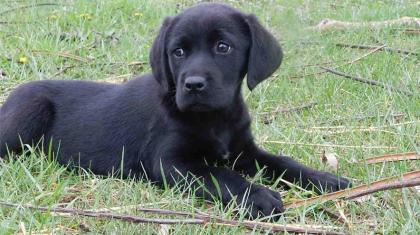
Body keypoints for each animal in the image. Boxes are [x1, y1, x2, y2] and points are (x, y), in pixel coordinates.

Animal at [0, 3, 350, 218]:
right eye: (178, 52)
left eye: (223, 47)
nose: (193, 85)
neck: (215, 119)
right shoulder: (172, 163)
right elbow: (219, 174)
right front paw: (257, 195)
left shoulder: (244, 152)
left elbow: (282, 162)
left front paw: (325, 179)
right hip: (29, 110)